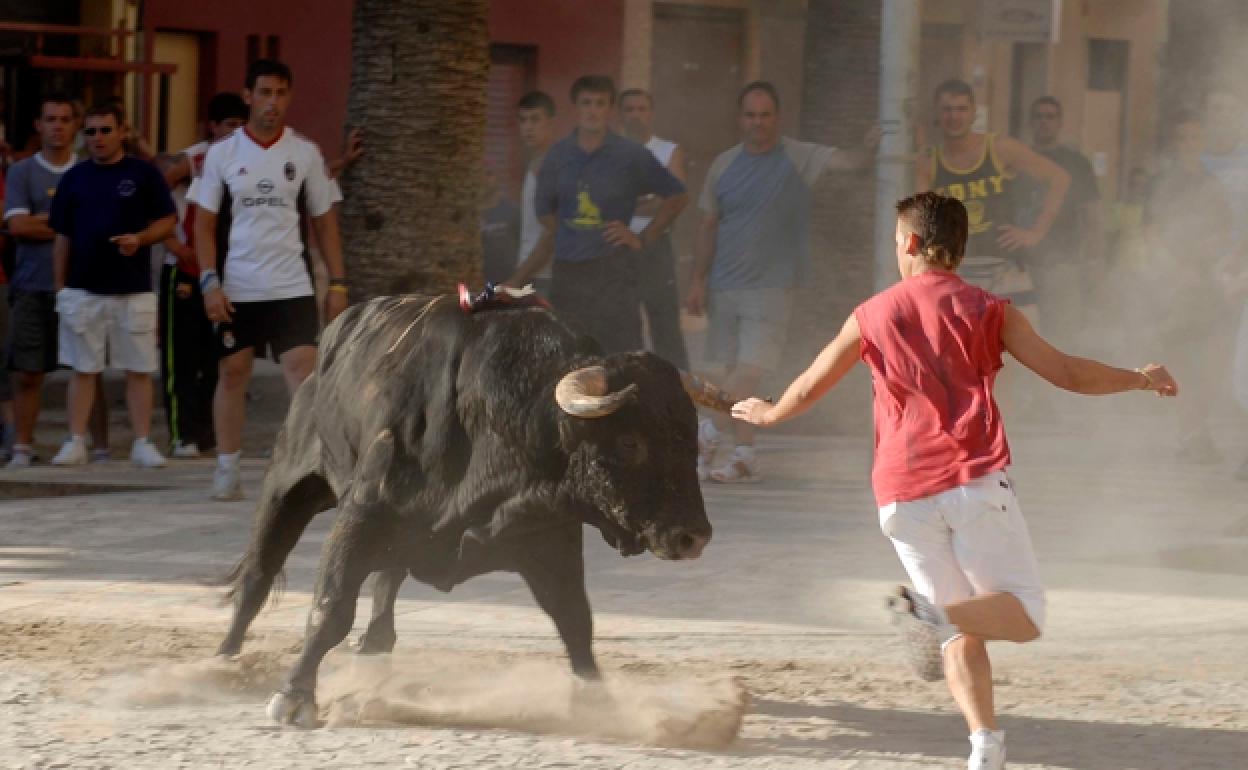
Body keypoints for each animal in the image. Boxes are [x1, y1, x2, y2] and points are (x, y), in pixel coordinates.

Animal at [218, 290, 733, 723]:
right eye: (630, 442)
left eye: (690, 436)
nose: (693, 535)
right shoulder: (363, 514)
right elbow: (330, 608)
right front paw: (293, 697)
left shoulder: (551, 539)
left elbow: (575, 620)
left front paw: (597, 704)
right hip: (290, 484)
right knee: (259, 573)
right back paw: (224, 659)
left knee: (387, 581)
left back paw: (374, 655)